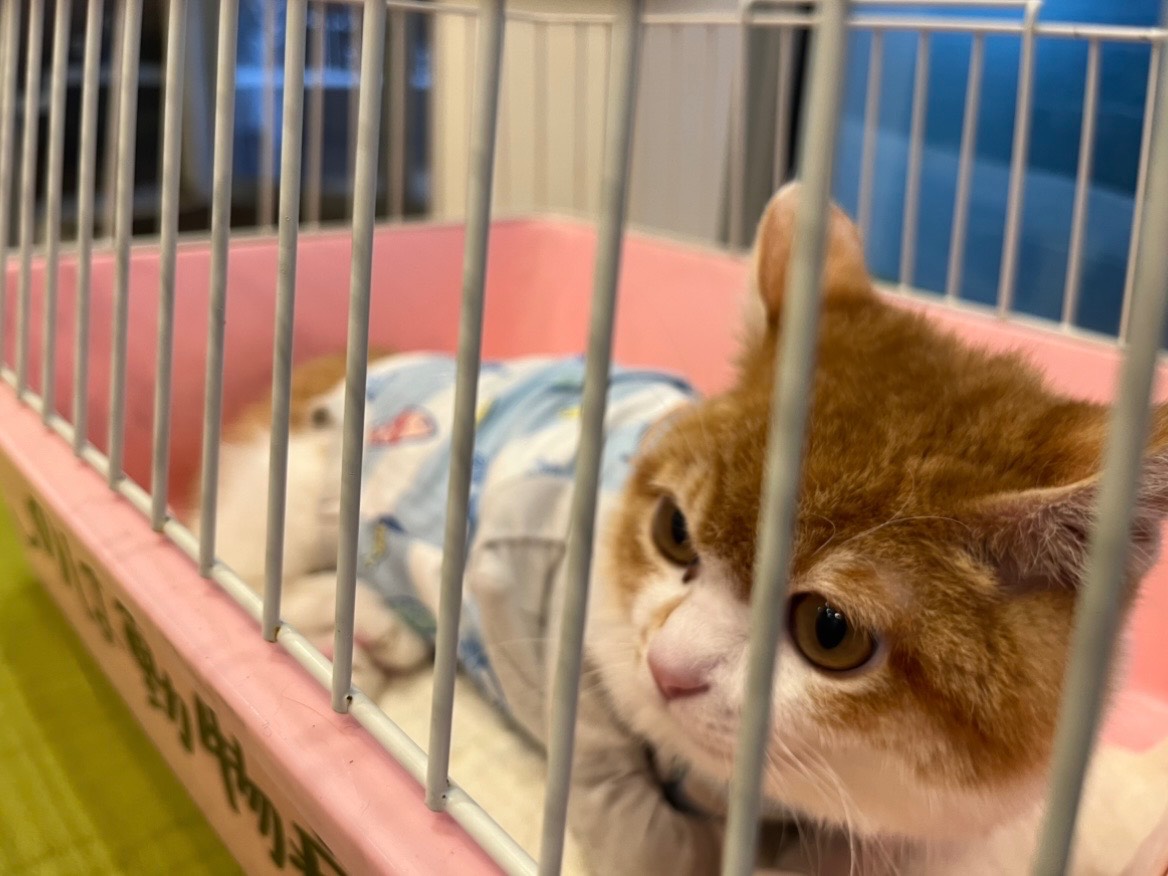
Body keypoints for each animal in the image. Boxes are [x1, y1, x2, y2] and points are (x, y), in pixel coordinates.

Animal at [190, 183, 1168, 875]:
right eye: (673, 532)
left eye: (831, 631)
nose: (669, 668)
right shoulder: (549, 616)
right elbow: (640, 830)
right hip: (295, 490)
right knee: (247, 563)